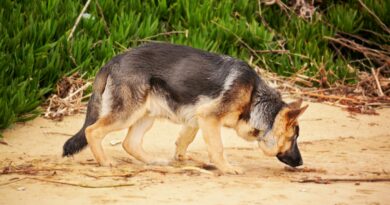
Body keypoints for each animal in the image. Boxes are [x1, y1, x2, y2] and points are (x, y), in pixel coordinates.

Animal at [63, 42, 308, 174]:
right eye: (294, 138)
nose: (301, 162)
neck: (254, 97)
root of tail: (113, 61)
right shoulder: (209, 118)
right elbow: (218, 148)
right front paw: (226, 168)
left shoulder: (196, 118)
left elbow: (184, 140)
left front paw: (182, 159)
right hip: (126, 114)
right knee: (92, 131)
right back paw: (105, 162)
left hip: (146, 114)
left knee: (129, 143)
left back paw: (154, 161)